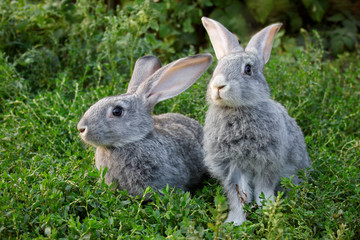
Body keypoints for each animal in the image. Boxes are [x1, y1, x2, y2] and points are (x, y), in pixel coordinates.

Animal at [201, 16, 310, 225]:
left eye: (248, 69)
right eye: (217, 68)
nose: (218, 85)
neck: (237, 109)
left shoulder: (268, 163)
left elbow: (263, 190)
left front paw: (269, 211)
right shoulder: (232, 168)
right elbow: (238, 196)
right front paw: (235, 222)